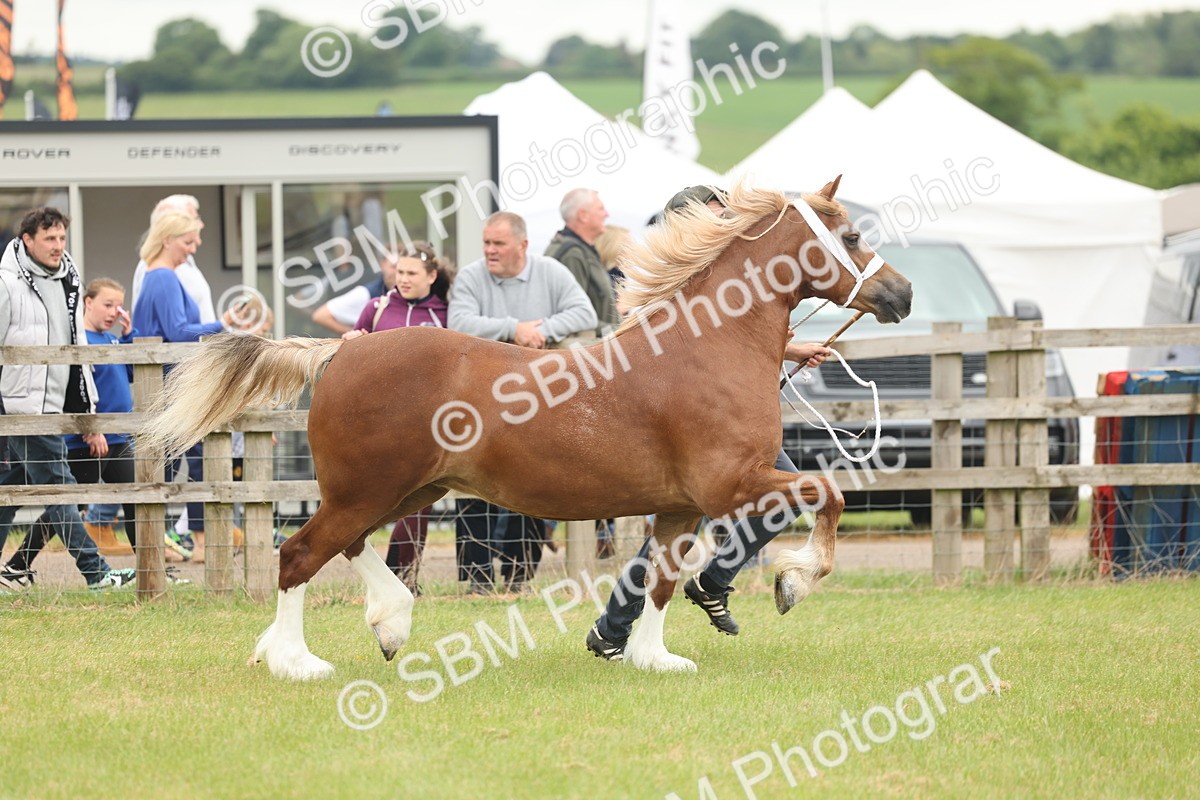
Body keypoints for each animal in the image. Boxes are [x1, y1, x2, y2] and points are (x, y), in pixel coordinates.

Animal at [139, 177, 912, 680]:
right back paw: (298, 661)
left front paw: (652, 657)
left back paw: (388, 623)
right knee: (299, 554)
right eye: (850, 235)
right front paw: (791, 583)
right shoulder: (734, 485)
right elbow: (831, 495)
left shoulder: (678, 506)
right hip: (368, 490)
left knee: (350, 548)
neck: (704, 348)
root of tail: (340, 350)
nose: (901, 294)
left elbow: (661, 580)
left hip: (406, 491)